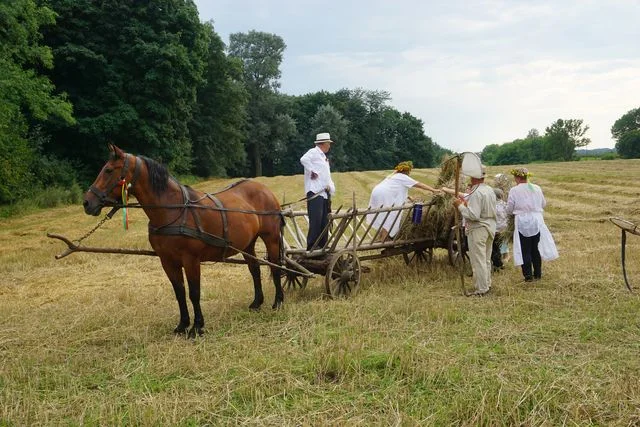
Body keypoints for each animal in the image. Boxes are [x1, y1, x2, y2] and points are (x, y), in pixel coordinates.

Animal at [82, 145, 282, 338]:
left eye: (108, 170)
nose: (87, 203)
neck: (172, 210)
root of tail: (265, 190)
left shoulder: (191, 260)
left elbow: (194, 293)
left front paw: (197, 327)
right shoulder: (167, 261)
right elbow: (179, 292)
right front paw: (182, 325)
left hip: (271, 238)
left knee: (275, 267)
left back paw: (278, 302)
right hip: (247, 244)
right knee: (254, 270)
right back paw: (256, 303)